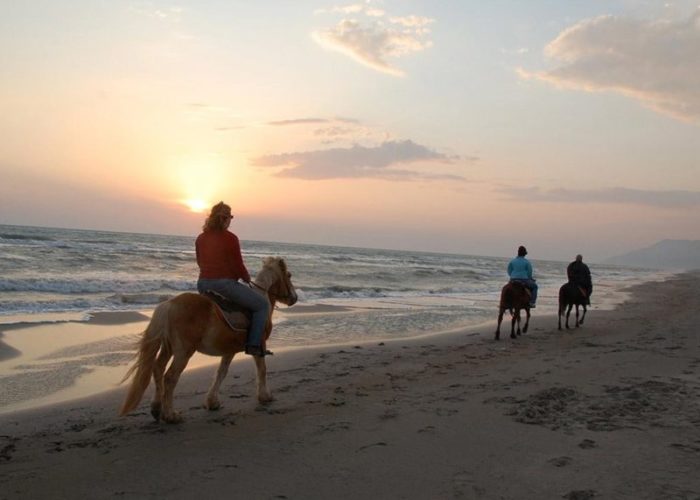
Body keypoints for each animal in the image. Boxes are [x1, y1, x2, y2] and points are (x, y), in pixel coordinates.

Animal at [118, 256, 298, 424]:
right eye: (289, 275)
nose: (294, 298)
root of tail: (169, 304)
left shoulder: (229, 350)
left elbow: (221, 373)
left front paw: (212, 402)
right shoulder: (259, 346)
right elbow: (262, 369)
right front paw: (265, 396)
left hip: (168, 348)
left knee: (158, 369)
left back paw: (156, 409)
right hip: (183, 352)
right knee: (170, 377)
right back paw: (170, 415)